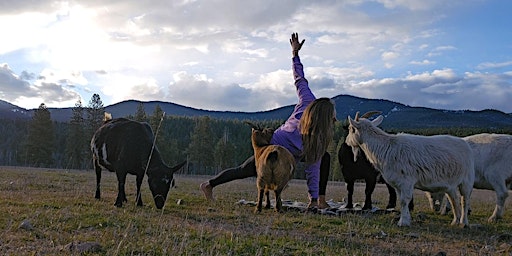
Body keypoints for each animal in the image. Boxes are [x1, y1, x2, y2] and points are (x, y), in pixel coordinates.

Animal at [346, 113, 474, 227]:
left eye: (351, 129)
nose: (347, 141)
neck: (387, 147)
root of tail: (465, 144)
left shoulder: (406, 181)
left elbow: (404, 200)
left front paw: (403, 222)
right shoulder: (398, 184)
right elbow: (402, 201)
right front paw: (406, 219)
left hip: (466, 180)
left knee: (465, 199)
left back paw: (464, 222)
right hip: (450, 185)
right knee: (454, 199)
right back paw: (455, 221)